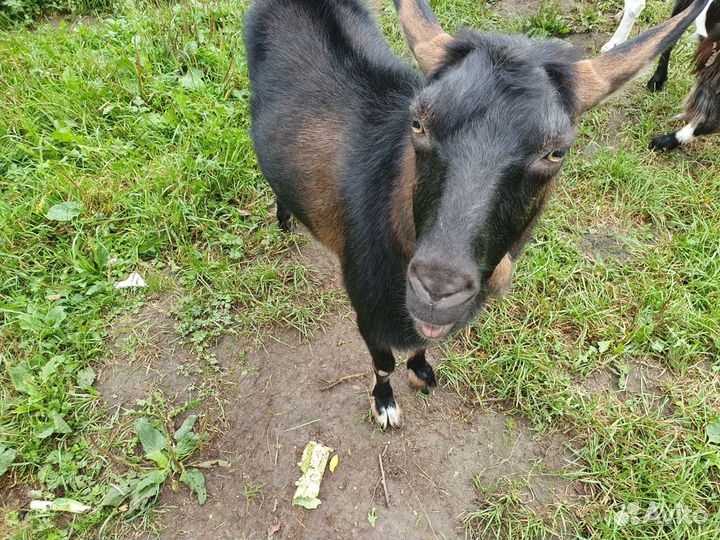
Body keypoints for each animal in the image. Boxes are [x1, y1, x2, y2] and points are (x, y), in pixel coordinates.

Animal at [244, 0, 711, 428]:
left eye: (556, 152)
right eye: (418, 123)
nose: (437, 288)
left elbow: (419, 344)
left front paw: (422, 372)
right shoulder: (366, 305)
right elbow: (382, 362)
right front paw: (385, 405)